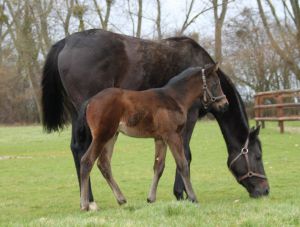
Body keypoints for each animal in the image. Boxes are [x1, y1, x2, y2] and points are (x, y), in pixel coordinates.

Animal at [78, 63, 229, 210]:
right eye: (215, 83)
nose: (225, 104)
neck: (174, 98)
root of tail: (90, 101)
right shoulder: (173, 135)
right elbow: (182, 164)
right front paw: (193, 198)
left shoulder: (160, 138)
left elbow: (159, 166)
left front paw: (151, 198)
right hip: (102, 136)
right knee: (87, 161)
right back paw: (85, 204)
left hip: (112, 135)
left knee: (104, 163)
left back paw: (121, 199)